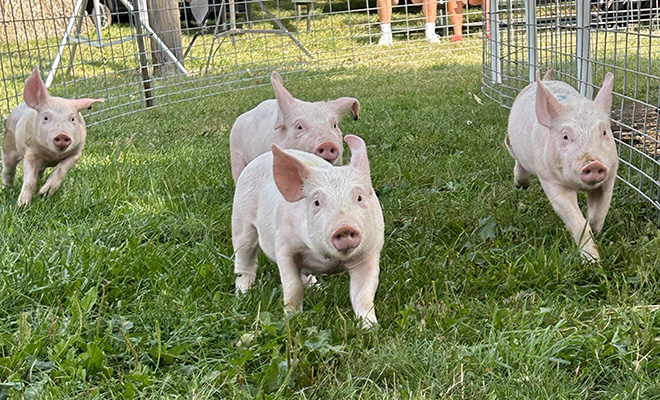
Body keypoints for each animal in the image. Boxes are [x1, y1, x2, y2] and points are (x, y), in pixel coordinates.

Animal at [2, 67, 104, 206]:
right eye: (45, 117)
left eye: (72, 119)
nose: (62, 135)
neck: (52, 157)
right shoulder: (30, 150)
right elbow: (29, 179)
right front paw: (22, 205)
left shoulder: (77, 153)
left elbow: (62, 168)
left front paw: (44, 193)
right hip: (8, 144)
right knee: (8, 168)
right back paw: (6, 188)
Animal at [232, 134, 384, 328]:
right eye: (316, 202)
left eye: (359, 197)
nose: (344, 227)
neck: (328, 259)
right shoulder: (284, 246)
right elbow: (292, 286)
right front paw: (292, 319)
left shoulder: (370, 251)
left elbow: (364, 294)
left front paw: (371, 328)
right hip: (241, 220)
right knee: (245, 262)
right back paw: (243, 294)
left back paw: (319, 289)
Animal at [506, 70, 618, 261]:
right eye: (565, 136)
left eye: (604, 132)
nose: (593, 164)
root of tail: (546, 79)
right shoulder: (550, 179)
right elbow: (577, 221)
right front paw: (593, 261)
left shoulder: (609, 176)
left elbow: (598, 215)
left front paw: (595, 234)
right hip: (512, 143)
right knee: (518, 162)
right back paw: (521, 185)